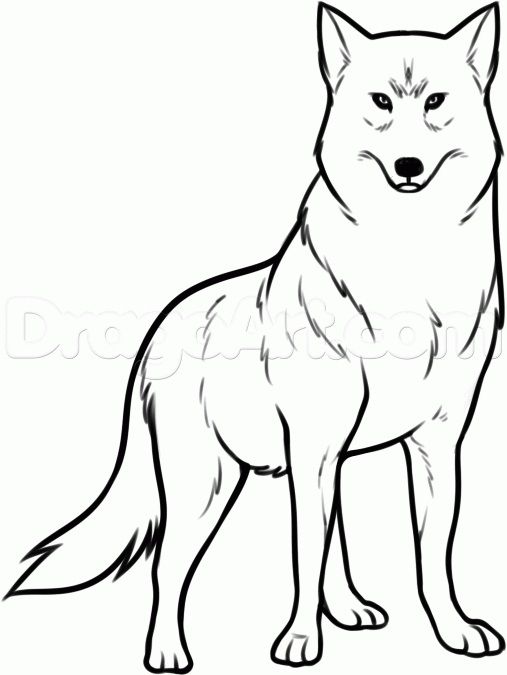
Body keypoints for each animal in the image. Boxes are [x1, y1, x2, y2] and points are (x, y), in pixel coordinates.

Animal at [7, 3, 505, 672]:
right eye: (380, 100)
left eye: (435, 101)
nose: (407, 167)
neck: (407, 258)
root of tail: (158, 332)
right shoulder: (316, 445)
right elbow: (303, 556)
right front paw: (298, 642)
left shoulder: (434, 443)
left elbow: (432, 556)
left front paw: (453, 632)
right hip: (207, 485)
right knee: (169, 567)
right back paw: (167, 651)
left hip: (311, 464)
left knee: (329, 547)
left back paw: (350, 610)